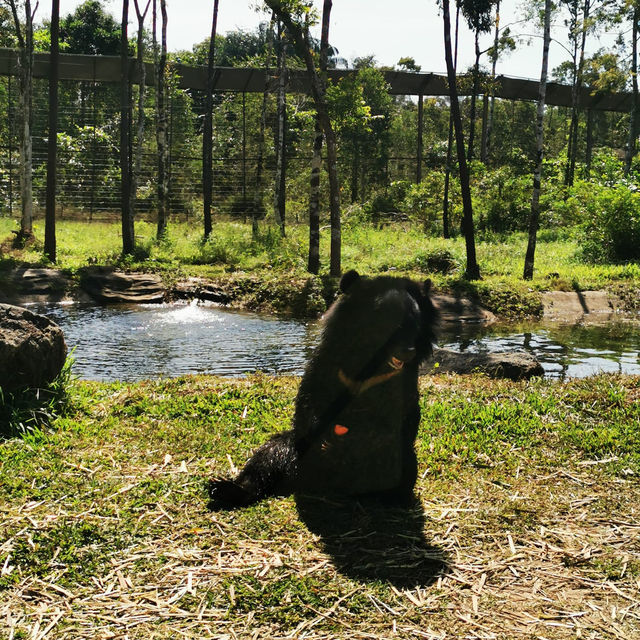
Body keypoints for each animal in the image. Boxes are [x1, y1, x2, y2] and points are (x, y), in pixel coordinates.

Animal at [208, 272, 438, 510]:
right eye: (388, 321)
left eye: (415, 322)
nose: (407, 352)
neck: (374, 363)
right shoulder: (327, 364)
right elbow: (310, 401)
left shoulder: (401, 381)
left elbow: (402, 415)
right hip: (297, 453)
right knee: (269, 454)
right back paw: (226, 489)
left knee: (402, 466)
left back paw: (393, 497)